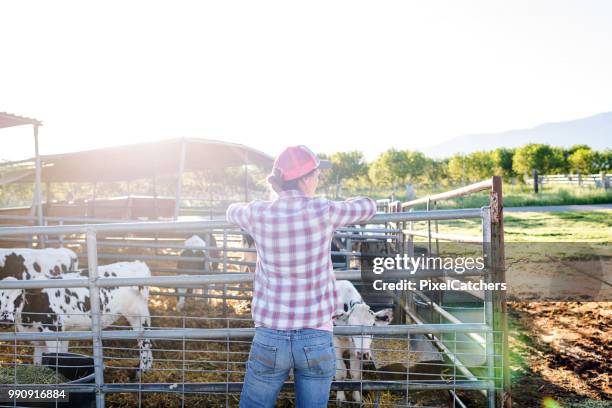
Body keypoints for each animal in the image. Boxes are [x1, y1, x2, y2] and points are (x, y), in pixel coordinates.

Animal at [0, 262, 152, 370]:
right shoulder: (39, 338)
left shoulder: (53, 332)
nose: (5, 320)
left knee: (145, 340)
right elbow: (39, 361)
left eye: (18, 297)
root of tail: (136, 264)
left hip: (138, 312)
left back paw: (143, 371)